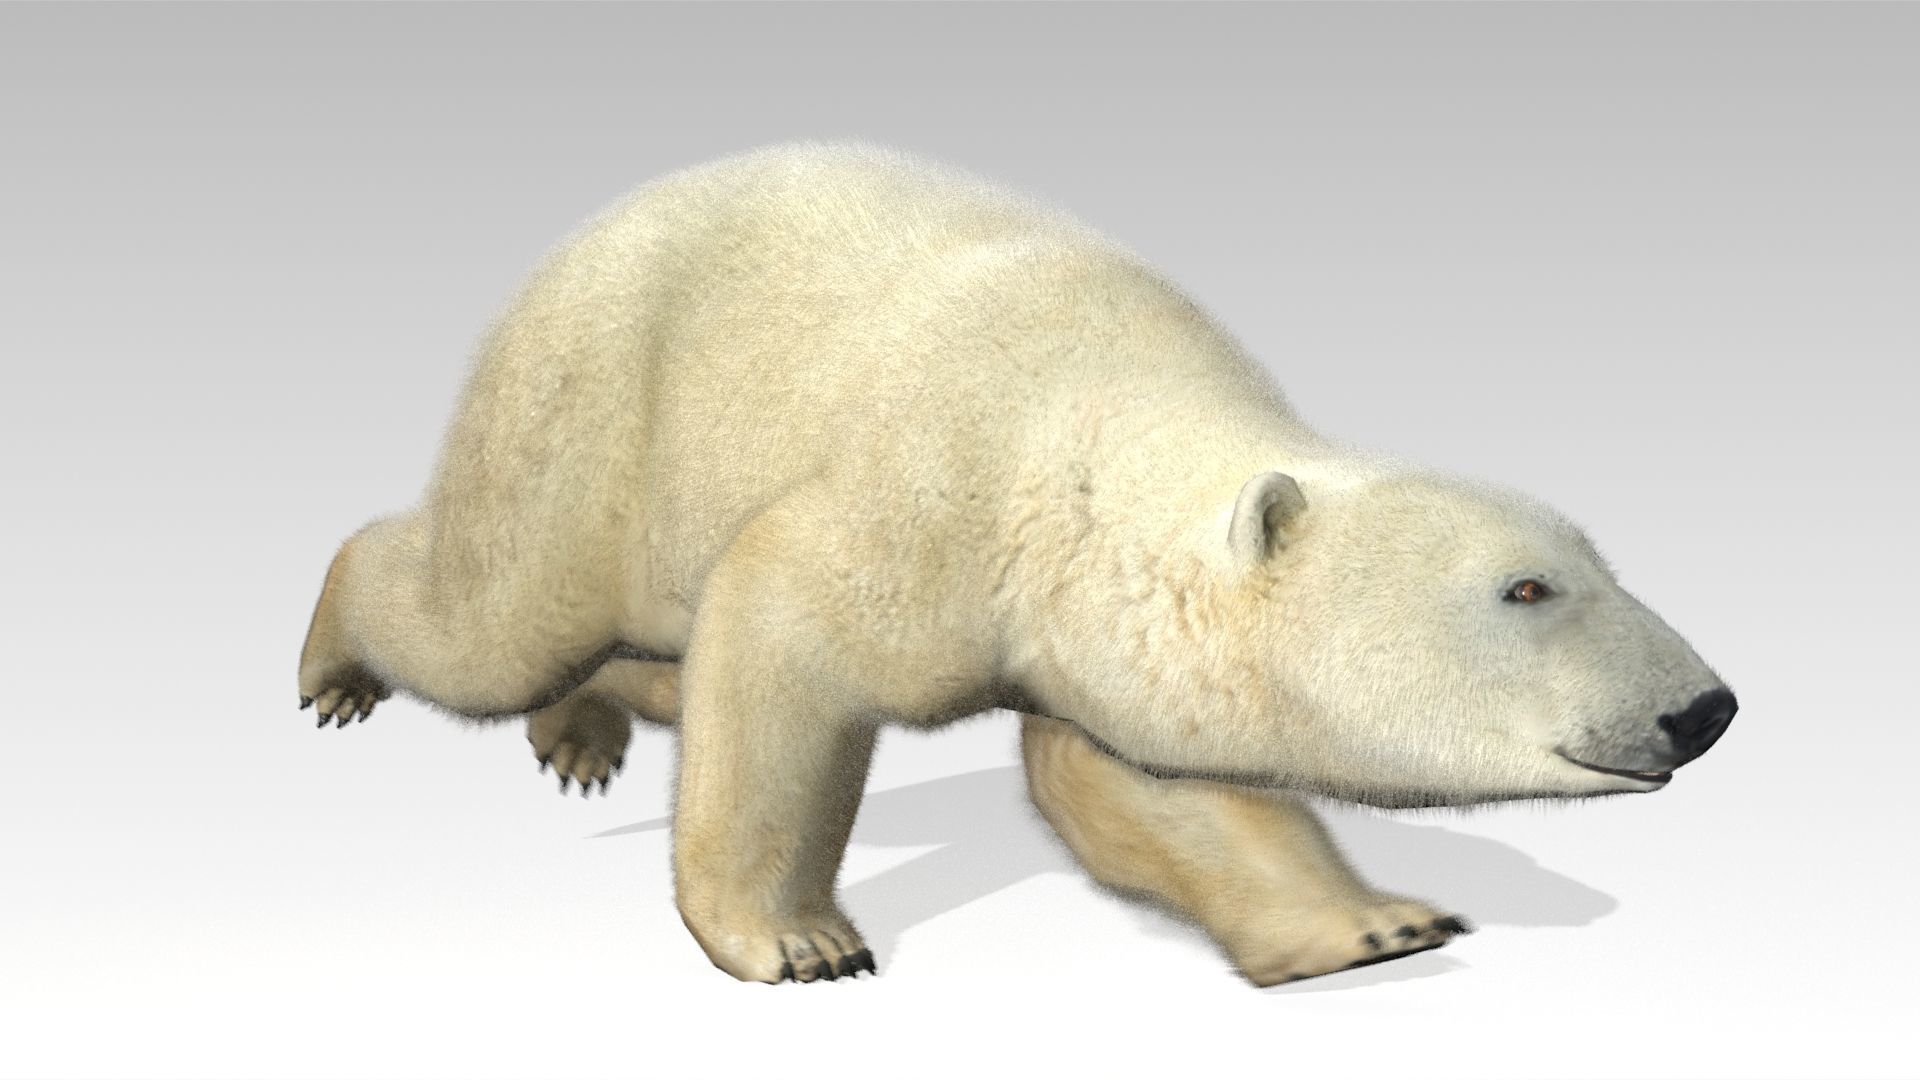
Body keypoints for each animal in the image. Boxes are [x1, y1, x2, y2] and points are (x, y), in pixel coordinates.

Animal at [296, 139, 1737, 986]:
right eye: (1526, 589)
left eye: (1599, 560)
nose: (1707, 708)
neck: (1087, 423)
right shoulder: (932, 498)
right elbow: (774, 638)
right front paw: (796, 941)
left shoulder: (1090, 620)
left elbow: (1152, 788)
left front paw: (1373, 924)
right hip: (595, 412)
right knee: (495, 616)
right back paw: (339, 665)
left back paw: (582, 729)